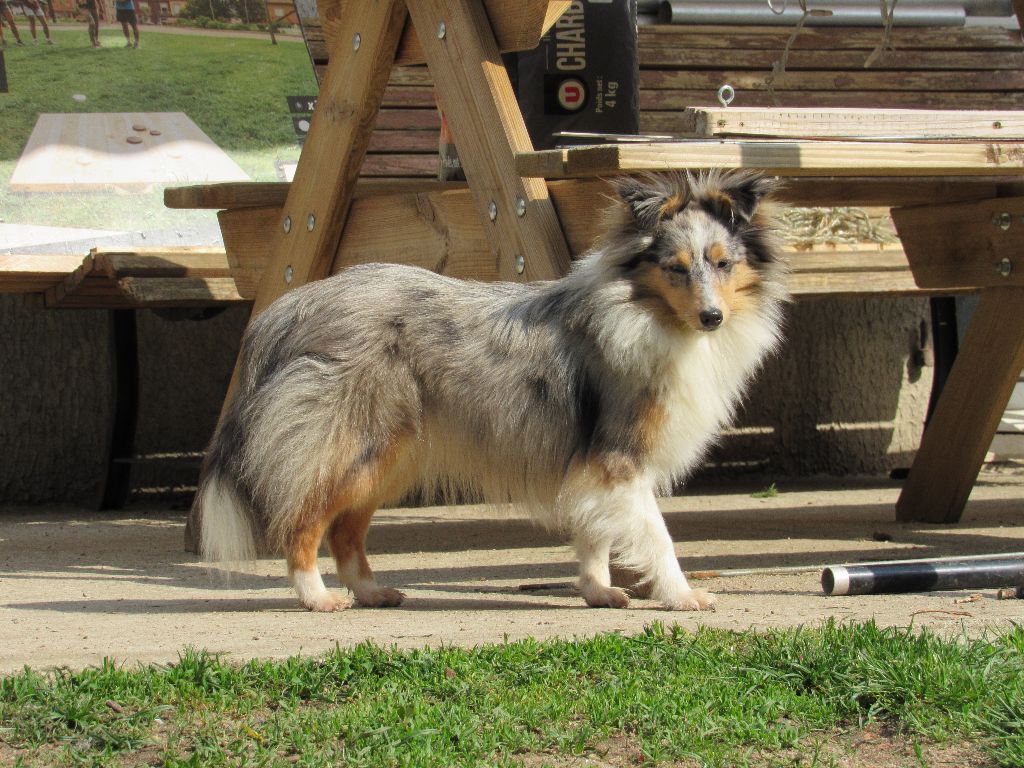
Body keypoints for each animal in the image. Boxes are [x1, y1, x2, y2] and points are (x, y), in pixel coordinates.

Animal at [193, 170, 789, 612]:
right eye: (675, 268)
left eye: (723, 263)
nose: (712, 318)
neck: (643, 311)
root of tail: (292, 308)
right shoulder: (619, 458)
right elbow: (657, 537)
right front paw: (683, 596)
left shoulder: (592, 464)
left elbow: (594, 534)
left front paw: (597, 591)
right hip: (349, 445)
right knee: (302, 523)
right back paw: (317, 597)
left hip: (387, 458)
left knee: (345, 532)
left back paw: (372, 592)